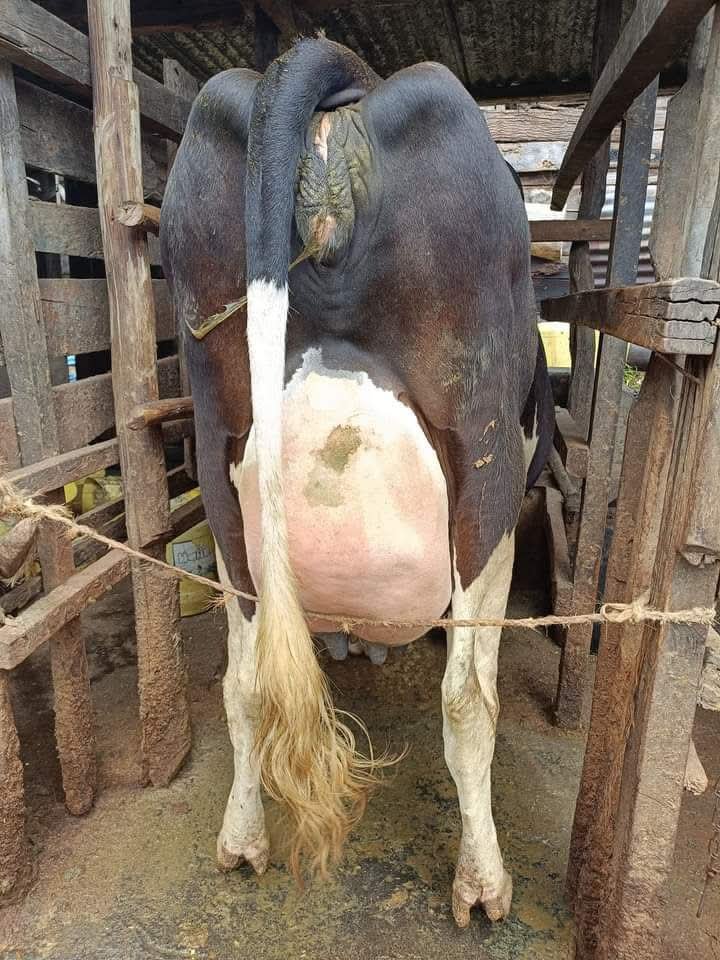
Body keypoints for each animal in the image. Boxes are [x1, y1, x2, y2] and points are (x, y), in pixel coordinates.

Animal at [160, 37, 554, 927]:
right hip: (484, 455)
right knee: (466, 697)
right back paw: (482, 884)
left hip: (218, 448)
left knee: (243, 679)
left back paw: (243, 841)